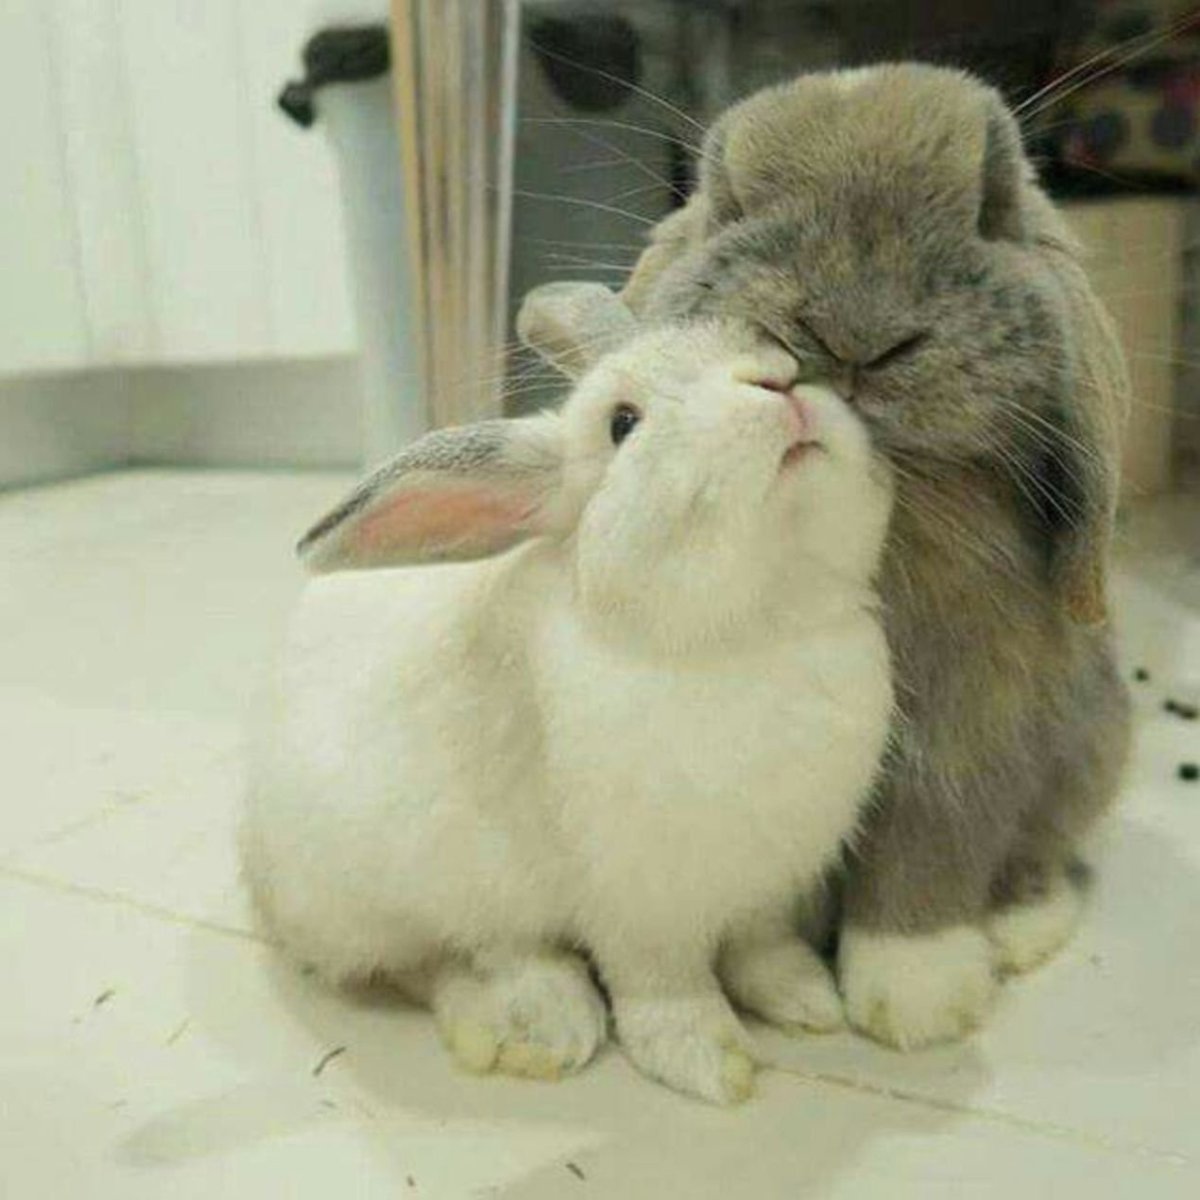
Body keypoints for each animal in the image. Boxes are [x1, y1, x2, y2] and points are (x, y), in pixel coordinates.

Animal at [241, 285, 895, 1104]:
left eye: (770, 350)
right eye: (623, 424)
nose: (779, 381)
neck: (757, 628)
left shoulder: (770, 885)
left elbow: (762, 948)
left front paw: (808, 1000)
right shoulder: (642, 904)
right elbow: (666, 987)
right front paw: (710, 1064)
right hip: (377, 897)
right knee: (433, 960)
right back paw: (538, 1018)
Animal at [602, 63, 1132, 1049]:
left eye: (993, 206)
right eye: (728, 197)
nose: (855, 339)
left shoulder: (966, 731)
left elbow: (931, 849)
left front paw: (915, 1000)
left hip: (1092, 750)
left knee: (1043, 853)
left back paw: (1015, 929)